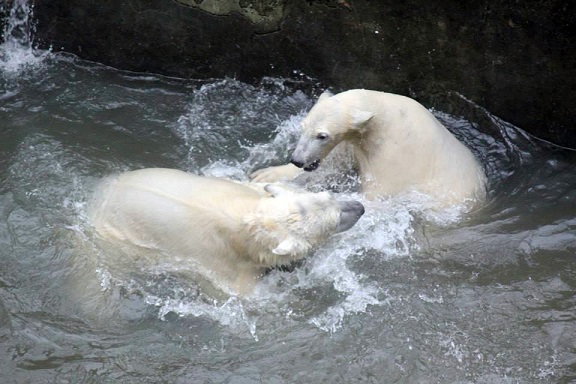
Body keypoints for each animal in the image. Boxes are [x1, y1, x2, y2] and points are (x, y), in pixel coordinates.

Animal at [86, 167, 364, 296]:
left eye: (329, 196)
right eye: (334, 222)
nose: (359, 208)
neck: (249, 222)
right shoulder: (223, 268)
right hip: (117, 238)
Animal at [252, 89, 486, 208]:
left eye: (322, 135)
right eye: (303, 127)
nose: (298, 159)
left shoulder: (397, 157)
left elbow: (377, 194)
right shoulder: (355, 142)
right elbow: (333, 164)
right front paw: (266, 174)